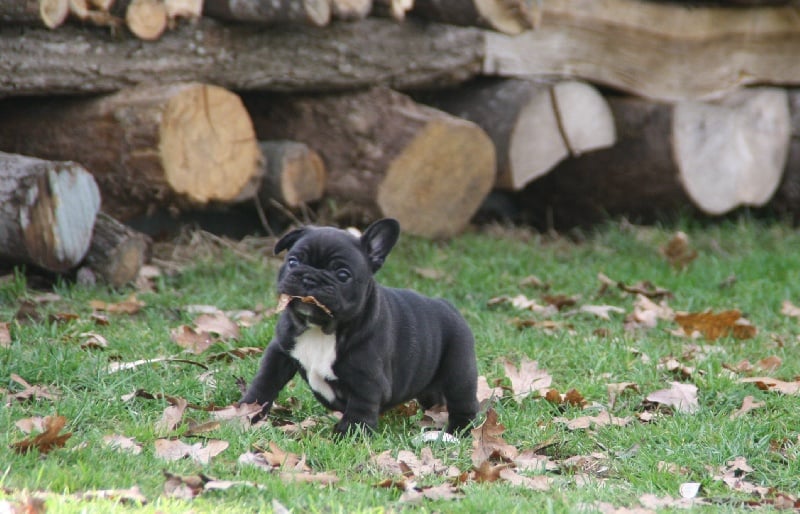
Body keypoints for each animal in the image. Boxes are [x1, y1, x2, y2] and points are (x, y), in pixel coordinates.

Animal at [238, 218, 476, 434]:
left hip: (459, 371)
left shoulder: (367, 379)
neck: (321, 330)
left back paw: (458, 431)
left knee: (463, 403)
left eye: (343, 274)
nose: (309, 278)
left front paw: (350, 434)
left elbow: (361, 407)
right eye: (293, 262)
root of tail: (448, 306)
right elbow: (265, 381)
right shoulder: (279, 352)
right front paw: (247, 412)